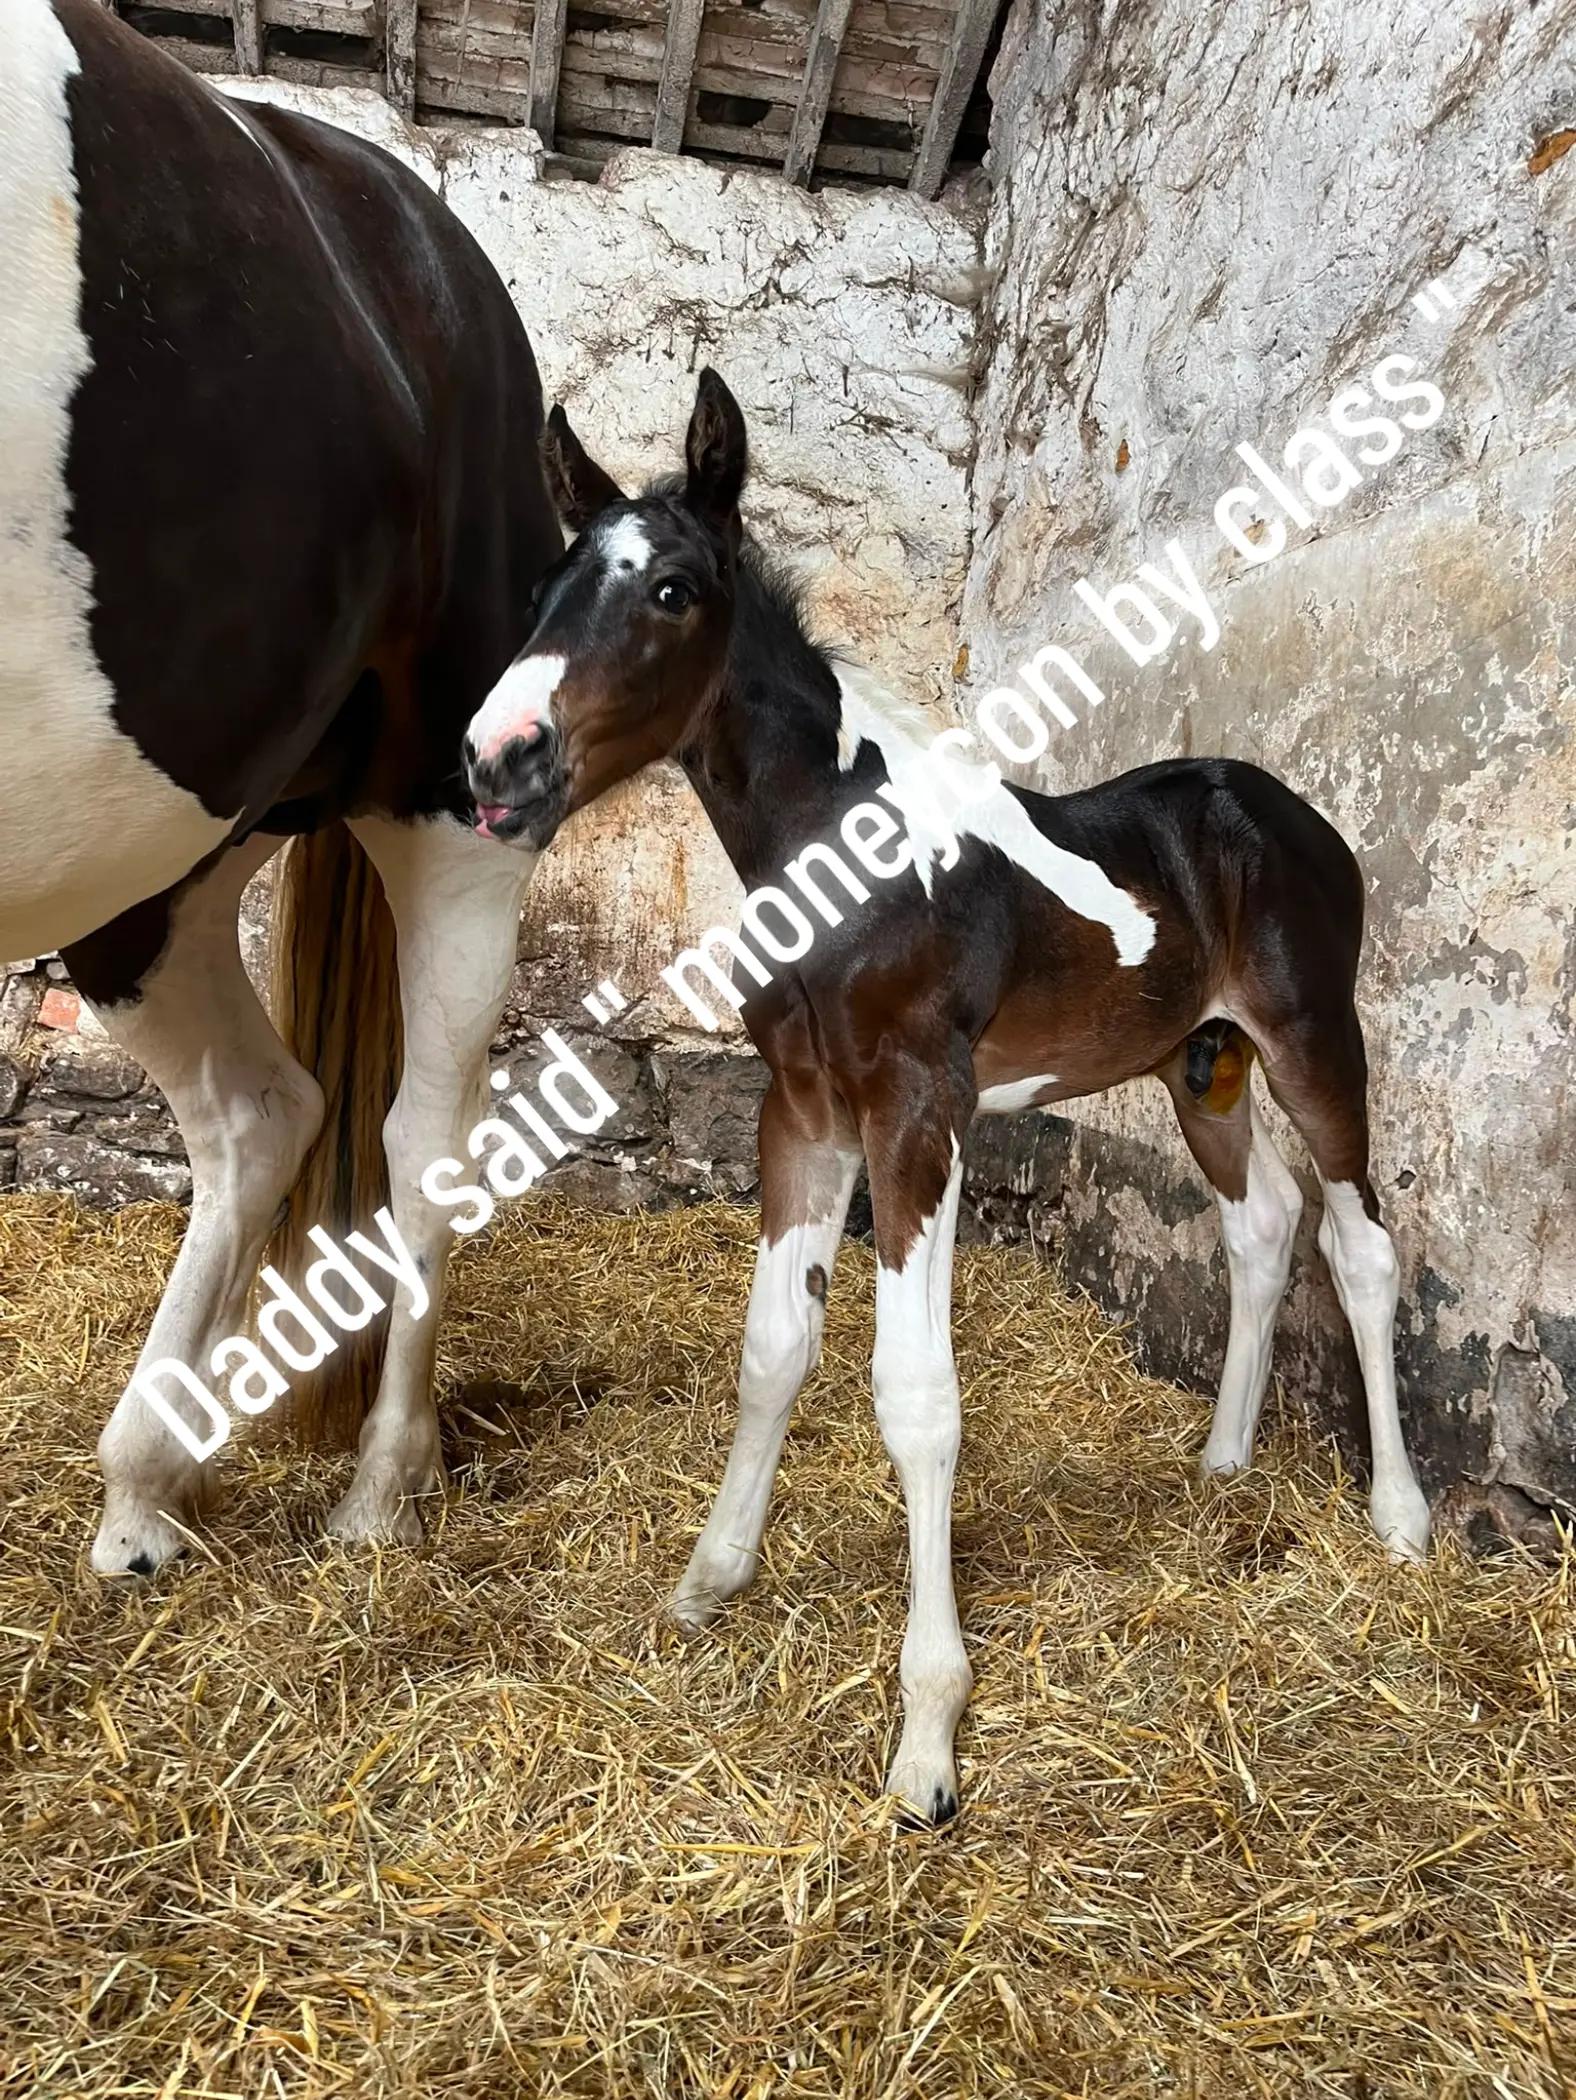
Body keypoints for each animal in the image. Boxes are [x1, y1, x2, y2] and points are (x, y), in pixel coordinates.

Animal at [1, 0, 562, 1571]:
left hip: (449, 812)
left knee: (420, 1139)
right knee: (261, 1114)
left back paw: (382, 1493)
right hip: (162, 859)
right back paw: (146, 1489)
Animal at [461, 369, 1432, 1823]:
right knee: (1261, 1224)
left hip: (1316, 1039)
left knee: (1360, 1246)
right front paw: (706, 1583)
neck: (845, 865)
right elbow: (774, 1350)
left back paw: (1401, 1519)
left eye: (673, 589)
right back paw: (1220, 1462)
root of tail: (1278, 808)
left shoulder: (918, 1111)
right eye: (545, 589)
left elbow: (914, 1396)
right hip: (1200, 1063)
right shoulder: (801, 1111)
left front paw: (927, 1734)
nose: (497, 760)